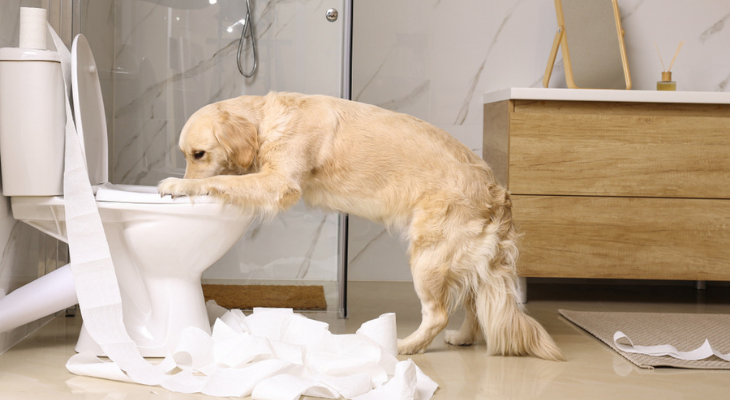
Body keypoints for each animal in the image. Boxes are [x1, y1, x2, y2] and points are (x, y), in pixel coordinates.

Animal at [158, 92, 564, 360]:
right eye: (187, 155)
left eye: (198, 154)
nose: (186, 174)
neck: (269, 120)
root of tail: (498, 191)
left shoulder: (279, 183)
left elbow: (226, 181)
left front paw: (179, 185)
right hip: (462, 261)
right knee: (475, 303)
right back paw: (463, 337)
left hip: (428, 258)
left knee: (438, 313)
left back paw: (404, 346)